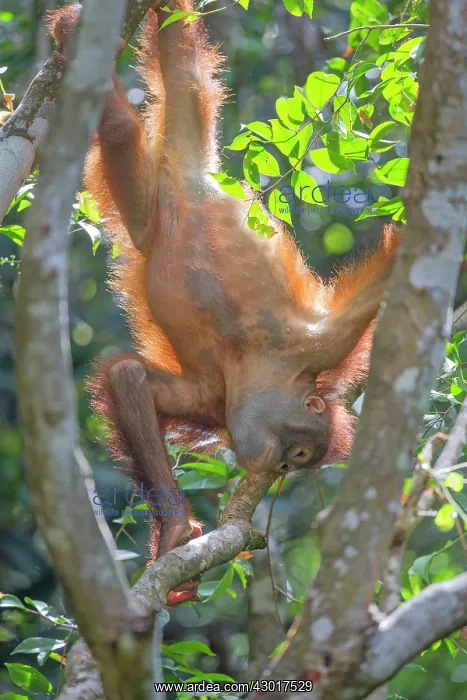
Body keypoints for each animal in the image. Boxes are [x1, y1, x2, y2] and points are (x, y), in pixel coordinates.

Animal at [48, 1, 400, 601]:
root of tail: (195, 175)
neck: (254, 367)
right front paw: (173, 534)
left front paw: (169, 534)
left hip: (149, 210)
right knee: (127, 123)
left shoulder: (212, 399)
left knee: (177, 76)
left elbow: (130, 381)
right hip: (179, 170)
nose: (278, 465)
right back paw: (78, 34)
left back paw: (79, 32)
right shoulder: (319, 345)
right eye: (298, 455)